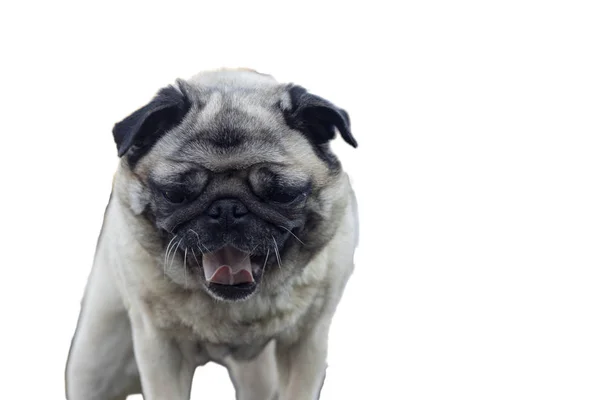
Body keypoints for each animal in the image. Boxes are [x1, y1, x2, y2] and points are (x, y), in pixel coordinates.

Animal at [65, 69, 358, 400]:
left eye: (282, 195)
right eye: (175, 194)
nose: (227, 208)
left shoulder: (306, 343)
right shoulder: (160, 349)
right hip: (95, 362)